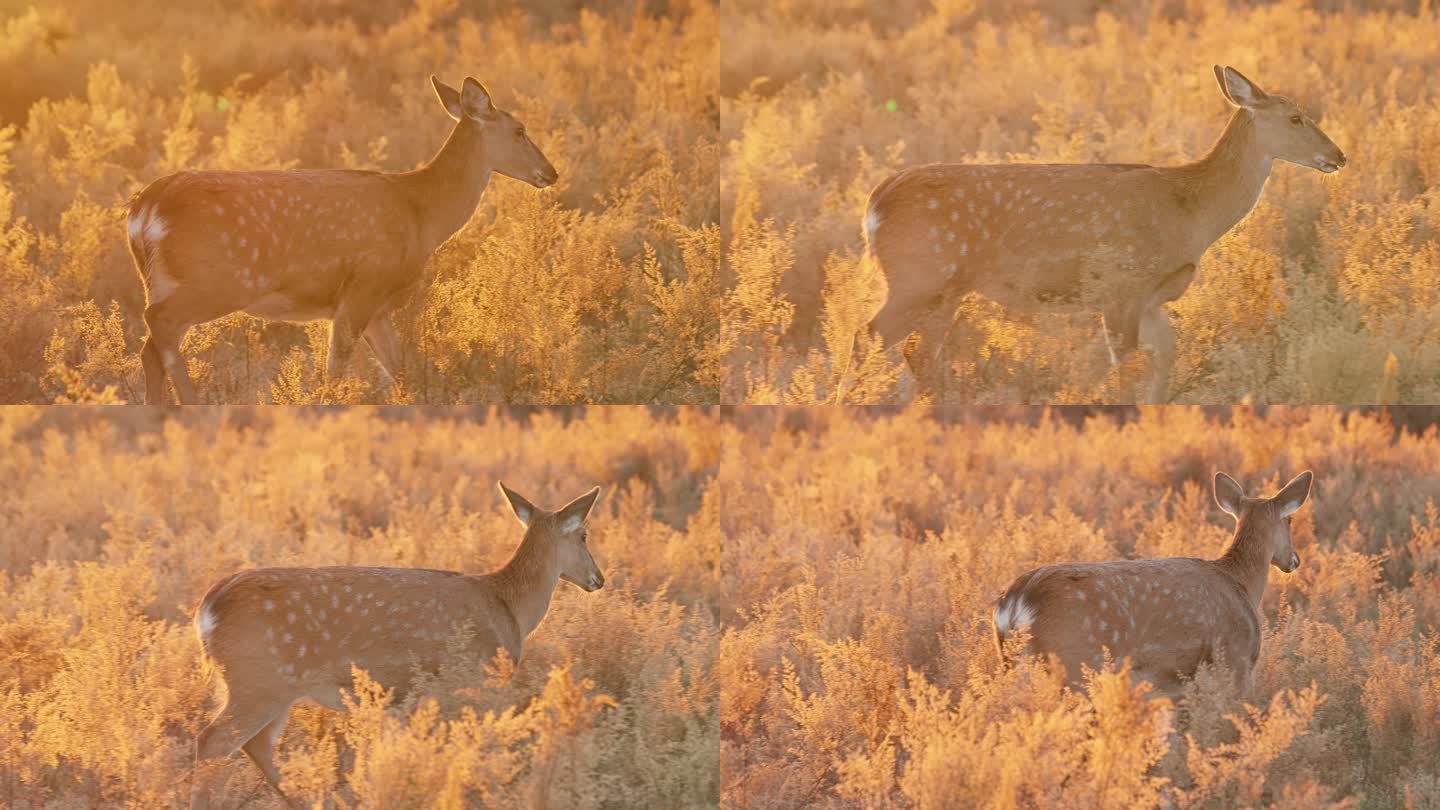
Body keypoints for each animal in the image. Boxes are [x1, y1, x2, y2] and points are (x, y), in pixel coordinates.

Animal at [128, 74, 555, 400]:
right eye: (519, 130)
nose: (551, 172)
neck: (422, 214)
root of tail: (143, 210)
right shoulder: (363, 286)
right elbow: (336, 370)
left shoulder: (379, 306)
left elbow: (401, 372)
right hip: (216, 280)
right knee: (158, 325)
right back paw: (190, 403)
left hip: (168, 281)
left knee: (152, 348)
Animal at [187, 481, 601, 801]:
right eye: (584, 535)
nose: (599, 578)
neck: (508, 607)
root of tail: (207, 610)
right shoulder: (473, 681)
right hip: (258, 680)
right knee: (213, 741)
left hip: (268, 687)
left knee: (255, 746)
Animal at [852, 66, 1336, 400]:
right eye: (1295, 117)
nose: (1339, 155)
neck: (1190, 210)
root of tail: (875, 203)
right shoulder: (1120, 285)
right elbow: (1125, 368)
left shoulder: (1151, 297)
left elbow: (1165, 357)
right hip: (918, 277)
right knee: (868, 338)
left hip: (945, 291)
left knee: (918, 353)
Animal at [996, 469, 1313, 697]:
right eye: (1290, 520)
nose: (1295, 559)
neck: (1242, 582)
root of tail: (1015, 601)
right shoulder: (1239, 656)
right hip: (1075, 658)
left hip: (1013, 661)